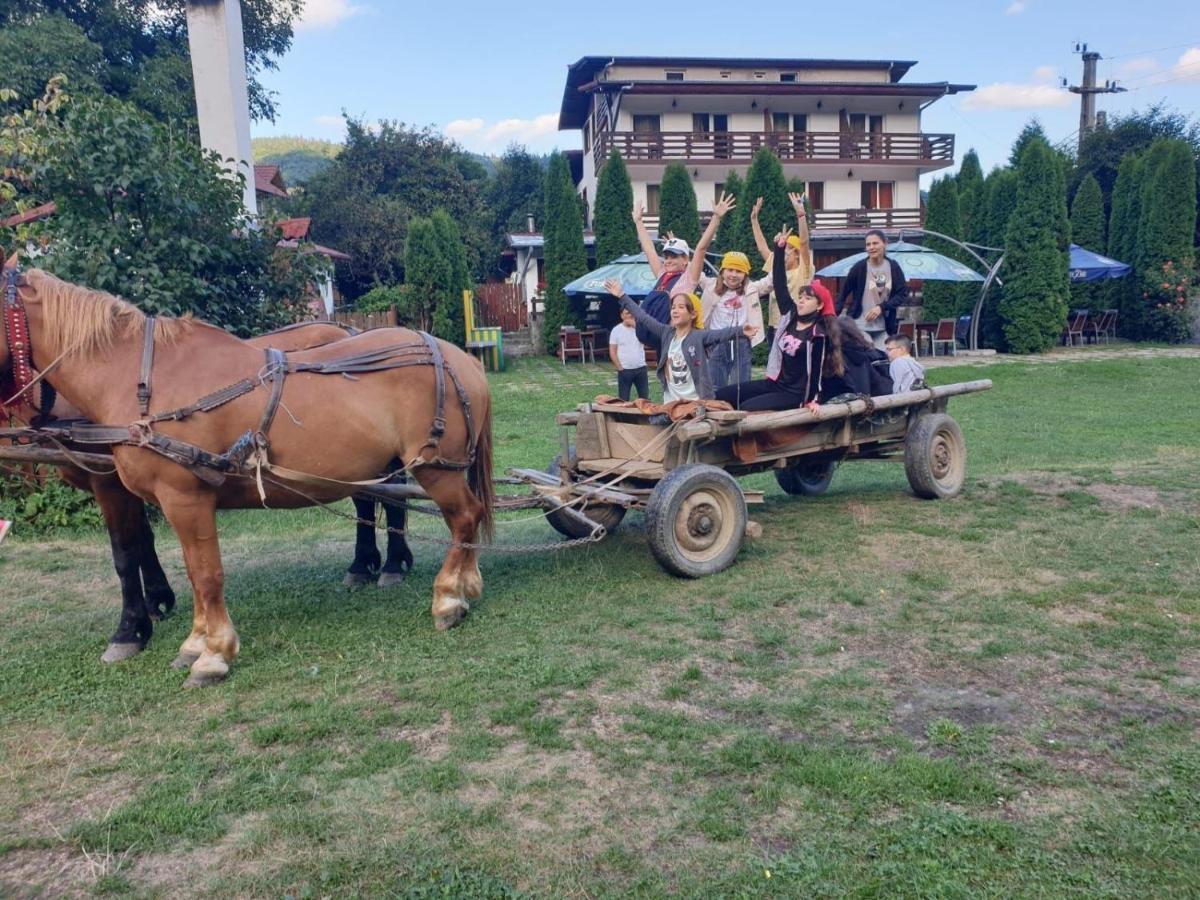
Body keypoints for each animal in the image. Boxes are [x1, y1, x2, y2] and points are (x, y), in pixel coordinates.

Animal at [1, 270, 492, 691]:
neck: (144, 381)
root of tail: (460, 358)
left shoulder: (183, 497)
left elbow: (202, 573)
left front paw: (210, 653)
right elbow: (180, 567)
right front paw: (191, 641)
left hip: (435, 468)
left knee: (464, 517)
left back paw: (447, 598)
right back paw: (456, 583)